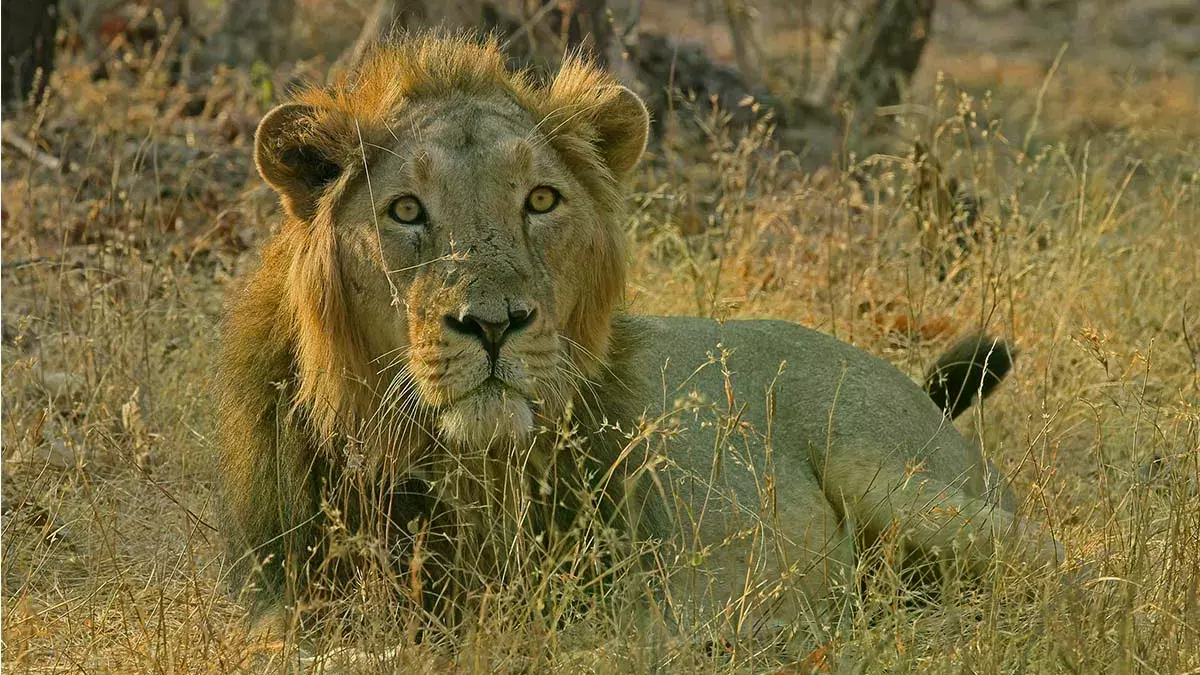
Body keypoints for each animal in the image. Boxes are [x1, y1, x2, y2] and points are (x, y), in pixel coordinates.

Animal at [217, 33, 1066, 646]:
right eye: (404, 211)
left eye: (541, 200)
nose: (493, 324)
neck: (457, 469)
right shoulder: (273, 599)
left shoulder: (637, 599)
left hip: (900, 482)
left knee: (1064, 557)